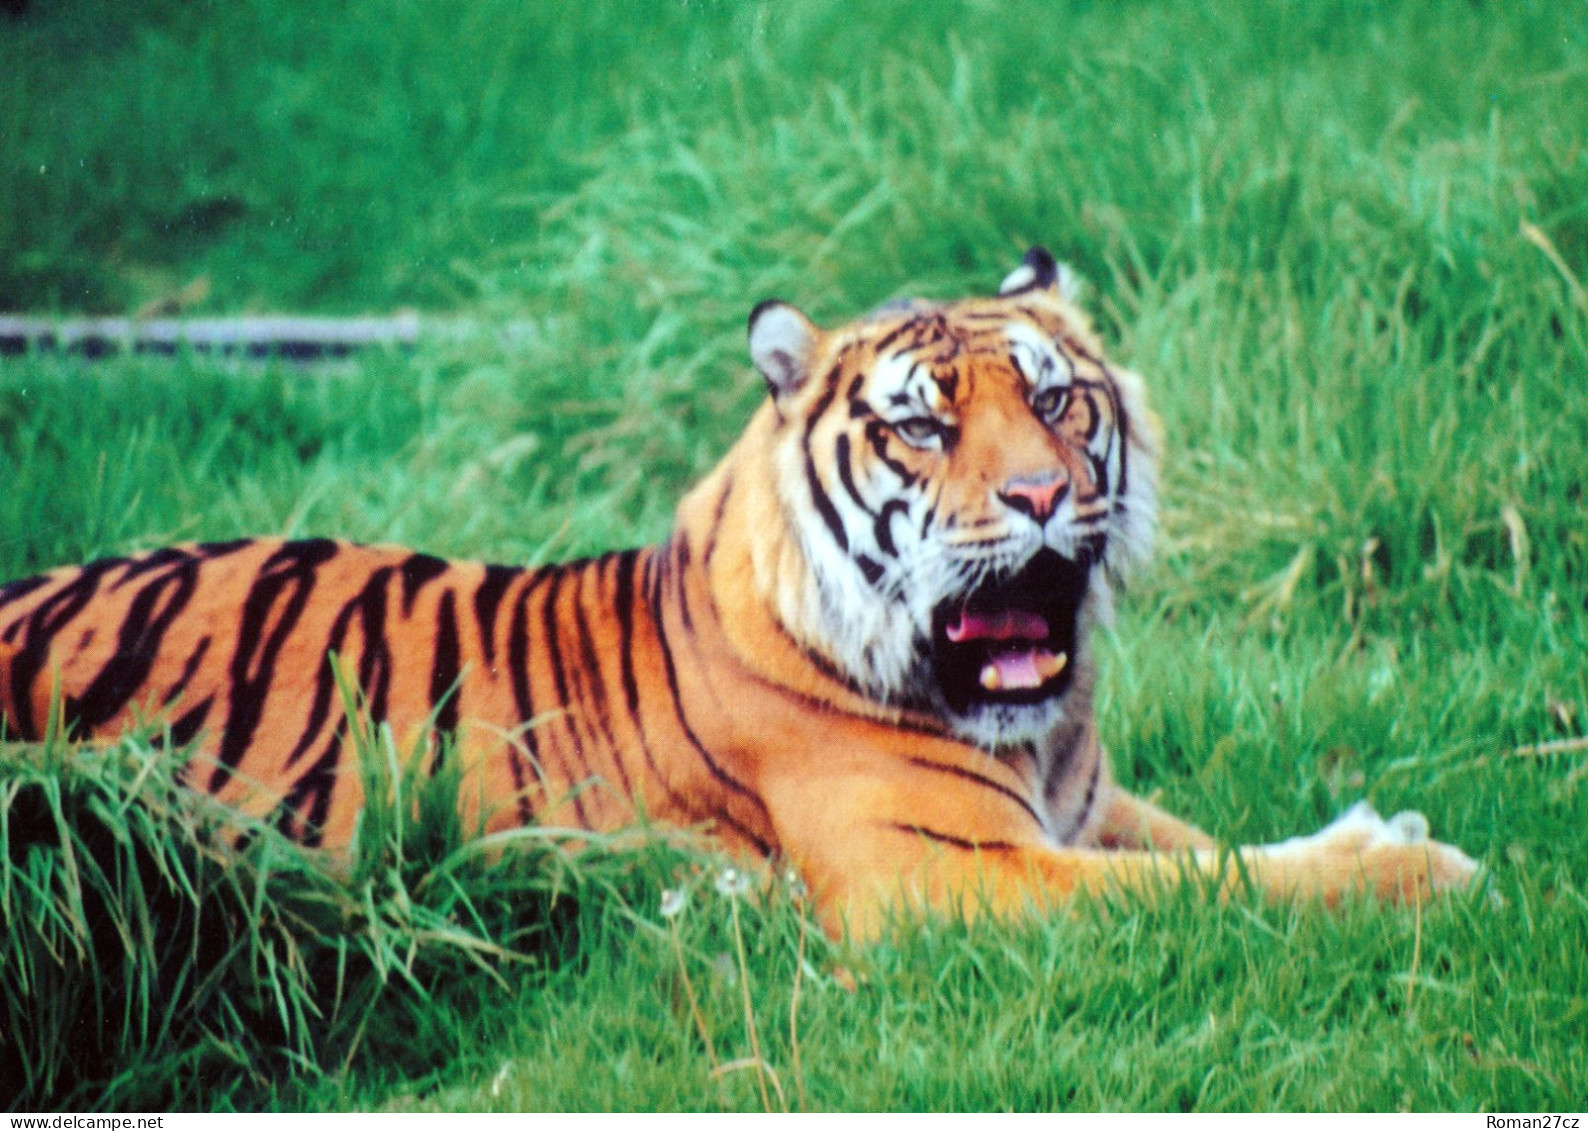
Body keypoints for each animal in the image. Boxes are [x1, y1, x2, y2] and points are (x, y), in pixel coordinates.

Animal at [0, 249, 1473, 934]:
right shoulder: (953, 873)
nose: (1040, 497)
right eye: (924, 426)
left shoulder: (1083, 808)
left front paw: (1371, 825)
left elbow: (1214, 847)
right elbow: (1211, 888)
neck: (1036, 736)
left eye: (1056, 401)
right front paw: (1428, 865)